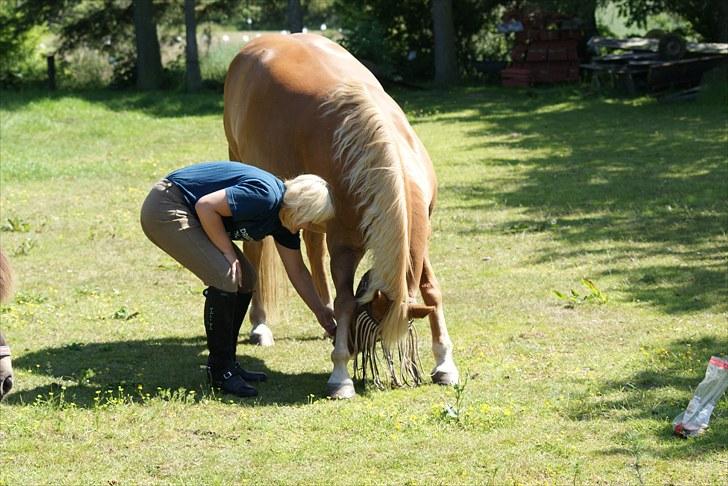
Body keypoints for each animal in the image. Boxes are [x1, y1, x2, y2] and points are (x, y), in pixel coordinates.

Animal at [225, 34, 458, 398]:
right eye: (369, 328)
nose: (354, 347)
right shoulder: (345, 247)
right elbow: (346, 299)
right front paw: (340, 374)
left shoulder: (422, 238)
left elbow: (432, 290)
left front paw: (445, 363)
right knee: (256, 251)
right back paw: (261, 324)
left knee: (312, 248)